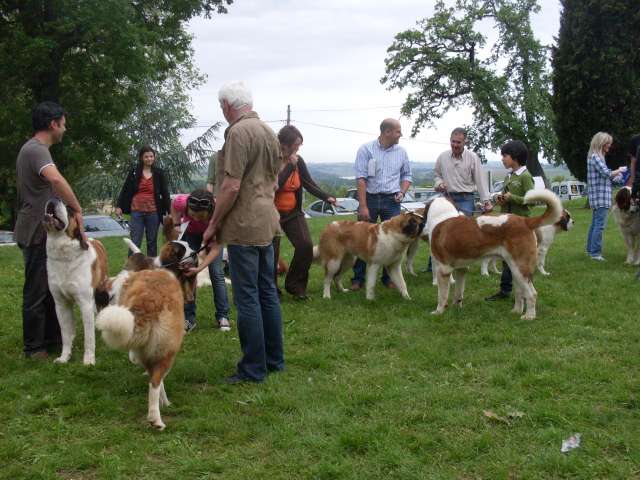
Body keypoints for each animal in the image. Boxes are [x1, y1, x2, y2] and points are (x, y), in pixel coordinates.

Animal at [42, 197, 108, 366]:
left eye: (69, 210)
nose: (53, 198)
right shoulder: (60, 304)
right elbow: (65, 333)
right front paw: (64, 357)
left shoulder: (85, 303)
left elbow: (89, 338)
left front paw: (89, 360)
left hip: (101, 290)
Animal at [95, 270, 185, 432]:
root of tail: (148, 300)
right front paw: (166, 403)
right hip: (168, 352)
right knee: (155, 382)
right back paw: (157, 419)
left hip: (148, 352)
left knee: (153, 380)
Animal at [424, 189, 560, 320]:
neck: (441, 216)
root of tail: (525, 221)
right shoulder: (461, 269)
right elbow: (459, 290)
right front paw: (456, 307)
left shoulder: (443, 269)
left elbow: (441, 295)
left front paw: (438, 311)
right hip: (514, 268)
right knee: (520, 292)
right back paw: (516, 311)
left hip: (521, 267)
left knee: (532, 293)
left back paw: (529, 316)